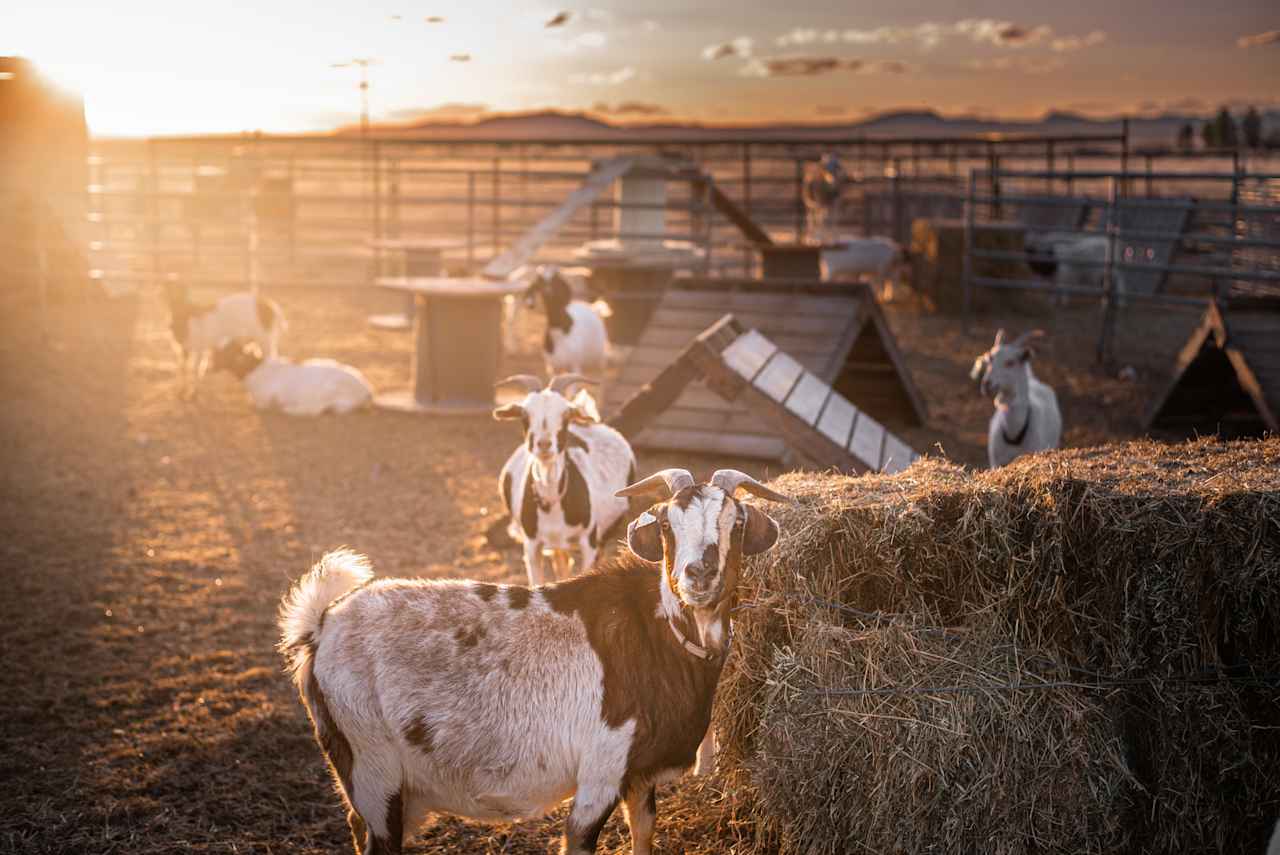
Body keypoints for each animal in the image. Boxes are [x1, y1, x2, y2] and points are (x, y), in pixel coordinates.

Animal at [212, 337, 373, 414]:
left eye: (224, 353)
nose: (211, 366)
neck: (256, 369)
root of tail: (366, 391)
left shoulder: (264, 401)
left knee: (316, 410)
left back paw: (290, 409)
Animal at [277, 468, 788, 855]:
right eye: (666, 525)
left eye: (736, 523)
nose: (698, 574)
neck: (659, 634)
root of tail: (322, 625)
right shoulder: (601, 772)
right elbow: (579, 841)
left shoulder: (639, 777)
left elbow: (644, 836)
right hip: (371, 764)